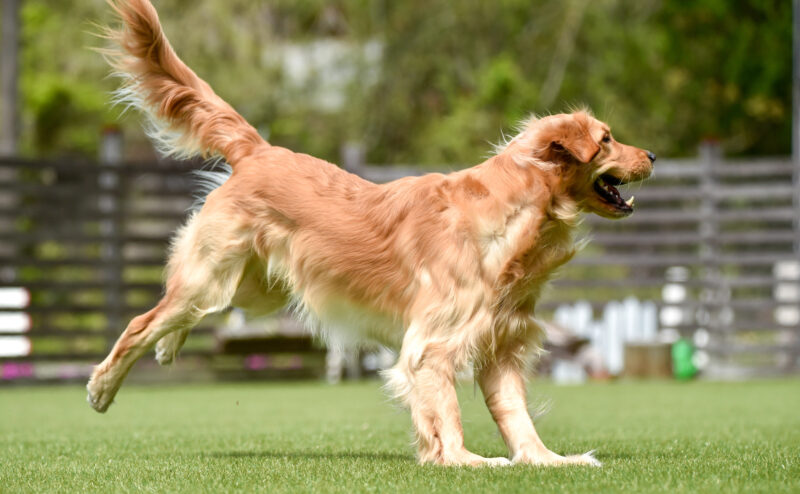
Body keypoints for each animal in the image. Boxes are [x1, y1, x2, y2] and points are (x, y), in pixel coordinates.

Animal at [87, 0, 652, 466]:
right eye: (606, 139)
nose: (650, 154)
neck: (514, 215)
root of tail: (259, 150)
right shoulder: (432, 344)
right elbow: (446, 410)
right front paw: (462, 460)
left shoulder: (500, 341)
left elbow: (516, 415)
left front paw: (547, 460)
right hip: (212, 278)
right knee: (142, 321)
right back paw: (102, 387)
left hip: (254, 287)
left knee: (173, 316)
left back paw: (167, 350)